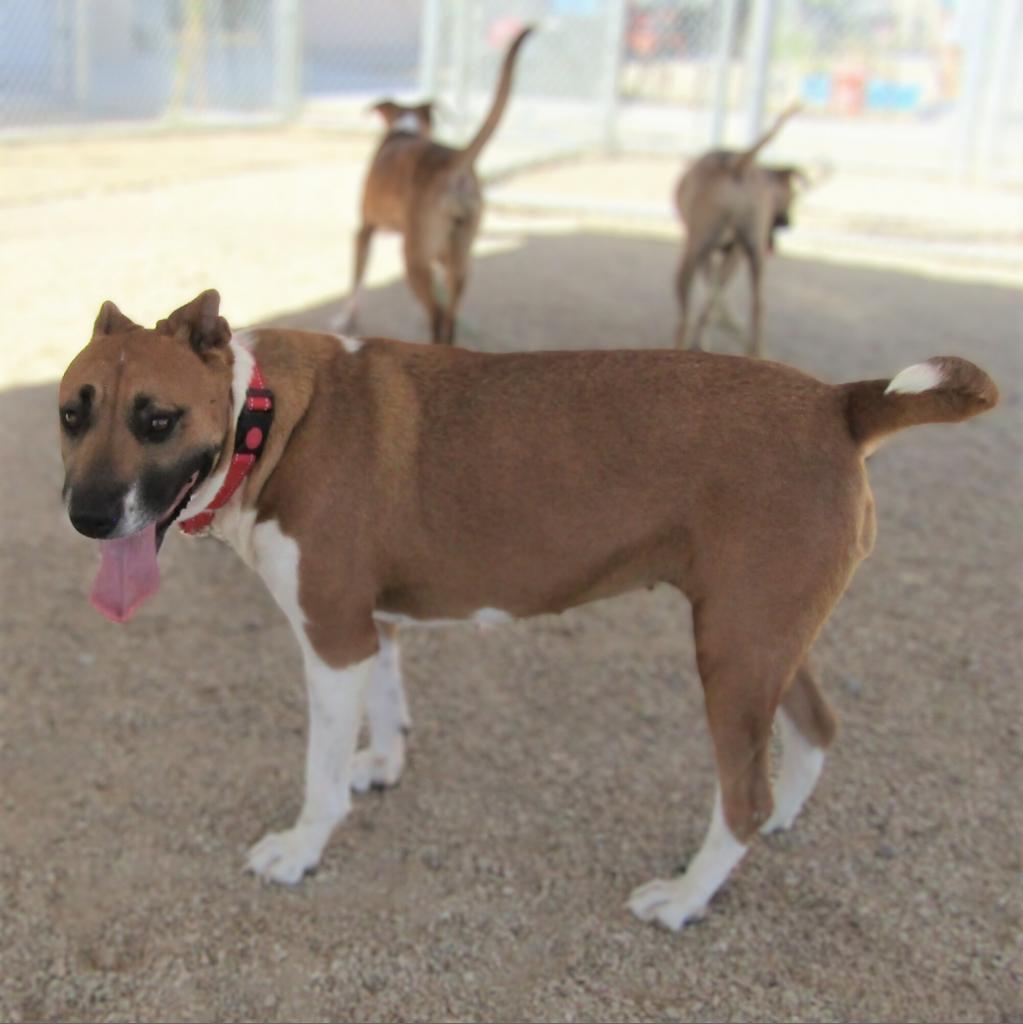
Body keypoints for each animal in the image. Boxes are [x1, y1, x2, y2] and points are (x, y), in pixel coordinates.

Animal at [58, 292, 999, 933]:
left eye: (157, 419)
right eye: (72, 413)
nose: (88, 517)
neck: (271, 417)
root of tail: (840, 401)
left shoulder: (331, 638)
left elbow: (317, 777)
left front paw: (300, 848)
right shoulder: (371, 626)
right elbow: (388, 709)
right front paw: (382, 764)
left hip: (731, 655)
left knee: (740, 795)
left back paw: (686, 896)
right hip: (763, 639)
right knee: (814, 730)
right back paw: (781, 822)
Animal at [342, 23, 540, 344]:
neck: (405, 130)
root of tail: (454, 162)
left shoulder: (364, 230)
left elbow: (356, 282)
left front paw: (346, 321)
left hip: (414, 257)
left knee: (436, 314)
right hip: (457, 258)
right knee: (450, 316)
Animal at [671, 100, 806, 356]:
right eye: (791, 198)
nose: (788, 222)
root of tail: (738, 162)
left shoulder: (725, 253)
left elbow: (714, 289)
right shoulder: (736, 252)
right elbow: (716, 289)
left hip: (698, 248)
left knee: (685, 315)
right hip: (750, 252)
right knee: (758, 304)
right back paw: (755, 351)